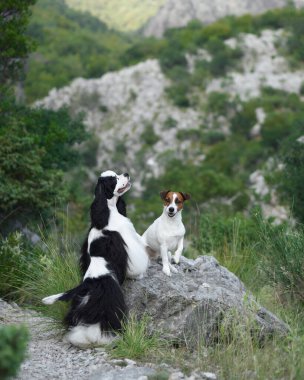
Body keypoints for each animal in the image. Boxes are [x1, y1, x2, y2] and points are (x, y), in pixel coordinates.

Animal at [42, 171, 149, 348]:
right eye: (114, 179)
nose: (126, 173)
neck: (109, 211)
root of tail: (89, 283)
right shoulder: (128, 240)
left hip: (81, 305)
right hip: (108, 305)